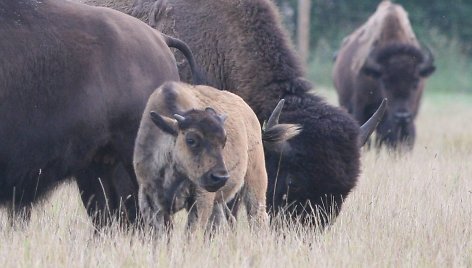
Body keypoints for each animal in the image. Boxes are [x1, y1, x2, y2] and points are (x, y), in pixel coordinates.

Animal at [133, 80, 298, 231]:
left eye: (224, 141)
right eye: (191, 140)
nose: (220, 177)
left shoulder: (201, 200)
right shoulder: (149, 200)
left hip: (255, 183)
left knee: (257, 217)